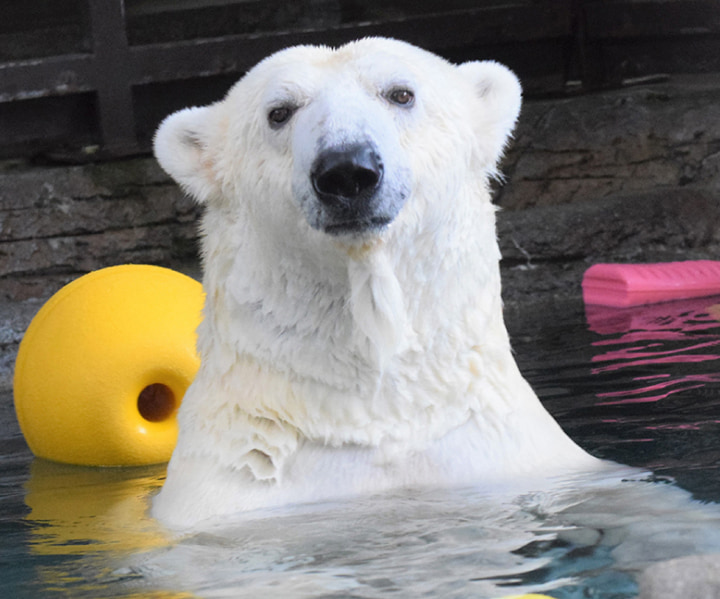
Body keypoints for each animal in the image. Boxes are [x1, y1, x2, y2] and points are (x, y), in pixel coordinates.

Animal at [152, 37, 600, 528]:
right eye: (279, 112)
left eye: (401, 93)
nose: (347, 170)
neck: (377, 411)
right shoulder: (230, 489)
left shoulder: (513, 457)